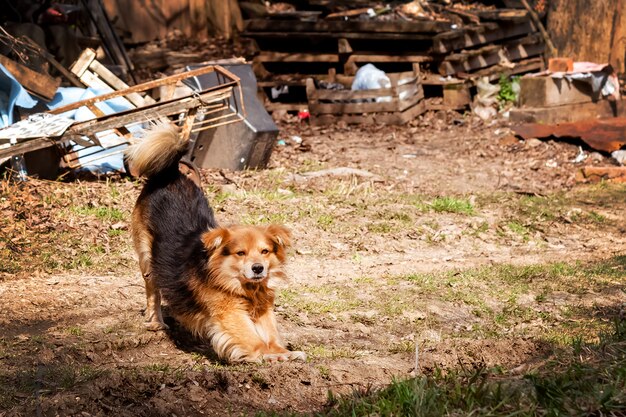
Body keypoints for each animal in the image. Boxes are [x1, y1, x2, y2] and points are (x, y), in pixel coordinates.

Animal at [125, 120, 304, 360]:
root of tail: (170, 174)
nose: (258, 268)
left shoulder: (262, 307)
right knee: (153, 291)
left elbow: (271, 332)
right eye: (240, 253)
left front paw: (281, 351)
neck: (242, 286)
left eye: (265, 251)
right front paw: (269, 355)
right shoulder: (228, 312)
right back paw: (156, 322)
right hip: (147, 258)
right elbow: (252, 339)